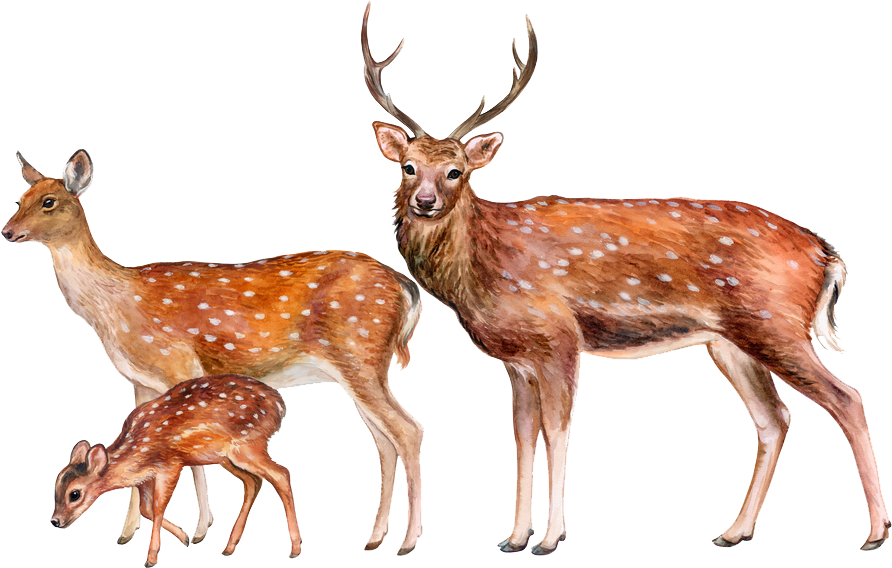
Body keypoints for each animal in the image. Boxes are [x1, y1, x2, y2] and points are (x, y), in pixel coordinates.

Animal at [51, 374, 300, 566]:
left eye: (75, 494)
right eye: (55, 489)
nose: (55, 521)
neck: (137, 451)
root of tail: (280, 406)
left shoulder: (170, 464)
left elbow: (158, 507)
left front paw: (151, 558)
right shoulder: (143, 478)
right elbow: (146, 509)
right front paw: (185, 537)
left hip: (247, 445)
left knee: (281, 474)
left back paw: (295, 549)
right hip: (225, 457)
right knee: (253, 481)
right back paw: (229, 547)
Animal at [360, 2, 888, 554]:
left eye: (457, 172)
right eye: (407, 167)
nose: (425, 201)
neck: (482, 272)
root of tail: (825, 253)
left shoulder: (559, 338)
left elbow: (558, 431)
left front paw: (550, 538)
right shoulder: (516, 358)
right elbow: (522, 436)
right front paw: (514, 536)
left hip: (776, 324)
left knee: (846, 399)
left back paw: (875, 533)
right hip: (730, 341)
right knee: (774, 418)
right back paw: (733, 531)